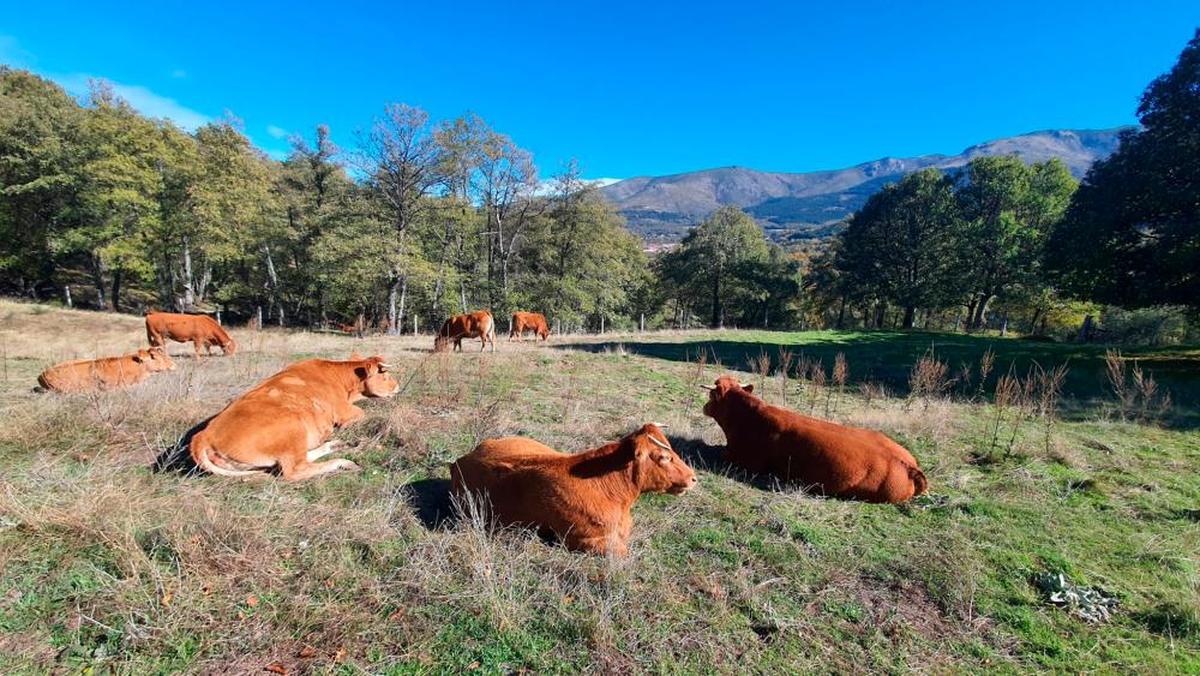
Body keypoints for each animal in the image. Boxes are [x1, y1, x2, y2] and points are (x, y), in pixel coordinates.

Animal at [188, 355, 398, 480]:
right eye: (385, 375)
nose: (398, 386)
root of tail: (204, 434)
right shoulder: (344, 411)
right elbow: (362, 413)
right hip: (293, 426)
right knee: (294, 470)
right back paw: (343, 462)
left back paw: (340, 445)